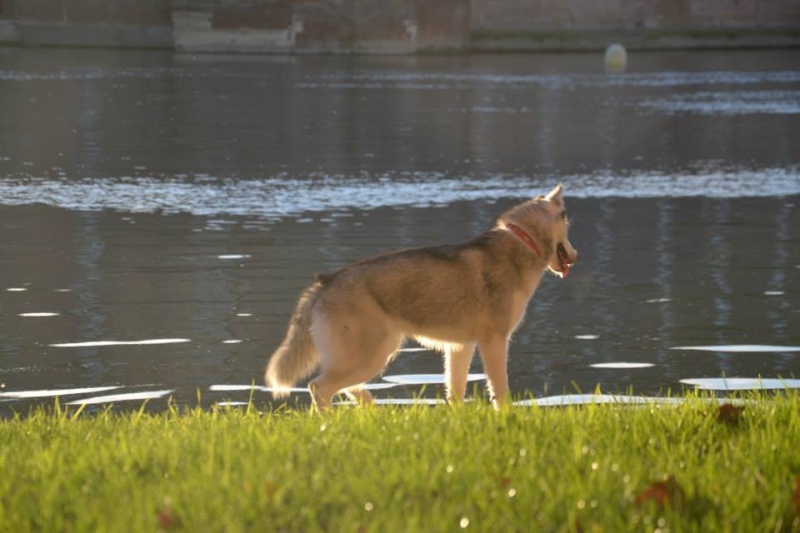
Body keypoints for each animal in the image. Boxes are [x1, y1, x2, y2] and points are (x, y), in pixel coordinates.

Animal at [266, 183, 580, 408]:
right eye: (568, 224)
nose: (576, 255)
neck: (521, 242)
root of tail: (325, 281)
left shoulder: (460, 347)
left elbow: (456, 392)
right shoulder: (495, 341)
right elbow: (500, 390)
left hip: (364, 355)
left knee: (347, 389)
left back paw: (372, 412)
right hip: (372, 355)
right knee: (320, 388)